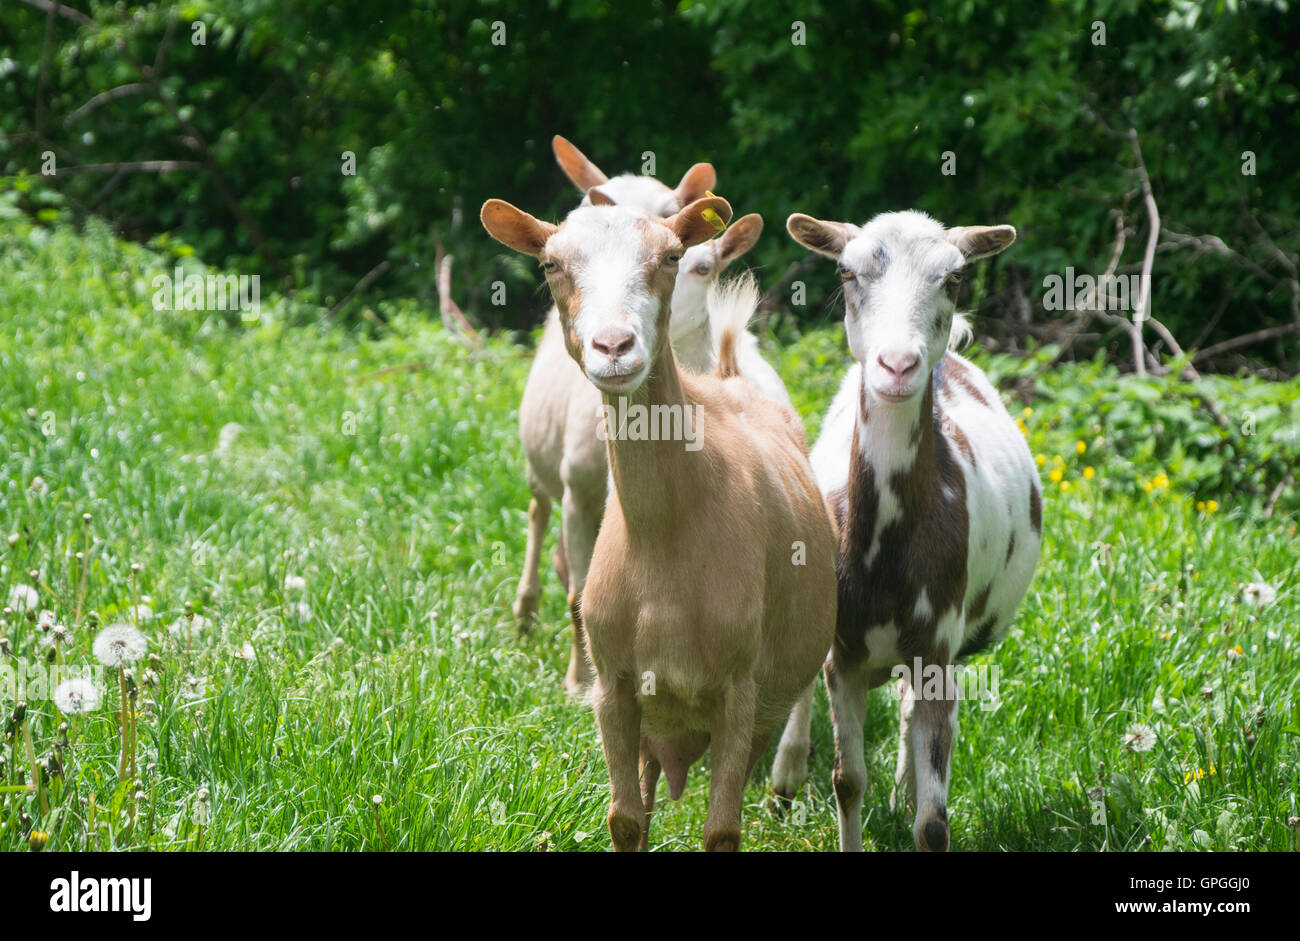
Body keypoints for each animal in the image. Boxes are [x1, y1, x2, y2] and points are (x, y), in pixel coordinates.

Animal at [483, 194, 837, 847]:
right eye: (550, 264)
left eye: (672, 257)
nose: (614, 346)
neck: (667, 536)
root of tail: (729, 374)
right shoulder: (616, 687)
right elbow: (625, 820)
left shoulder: (739, 690)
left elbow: (722, 831)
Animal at [780, 207, 1045, 852]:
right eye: (847, 272)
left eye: (953, 278)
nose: (898, 365)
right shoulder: (843, 657)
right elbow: (847, 781)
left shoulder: (938, 651)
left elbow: (933, 822)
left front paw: (911, 804)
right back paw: (785, 777)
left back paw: (900, 789)